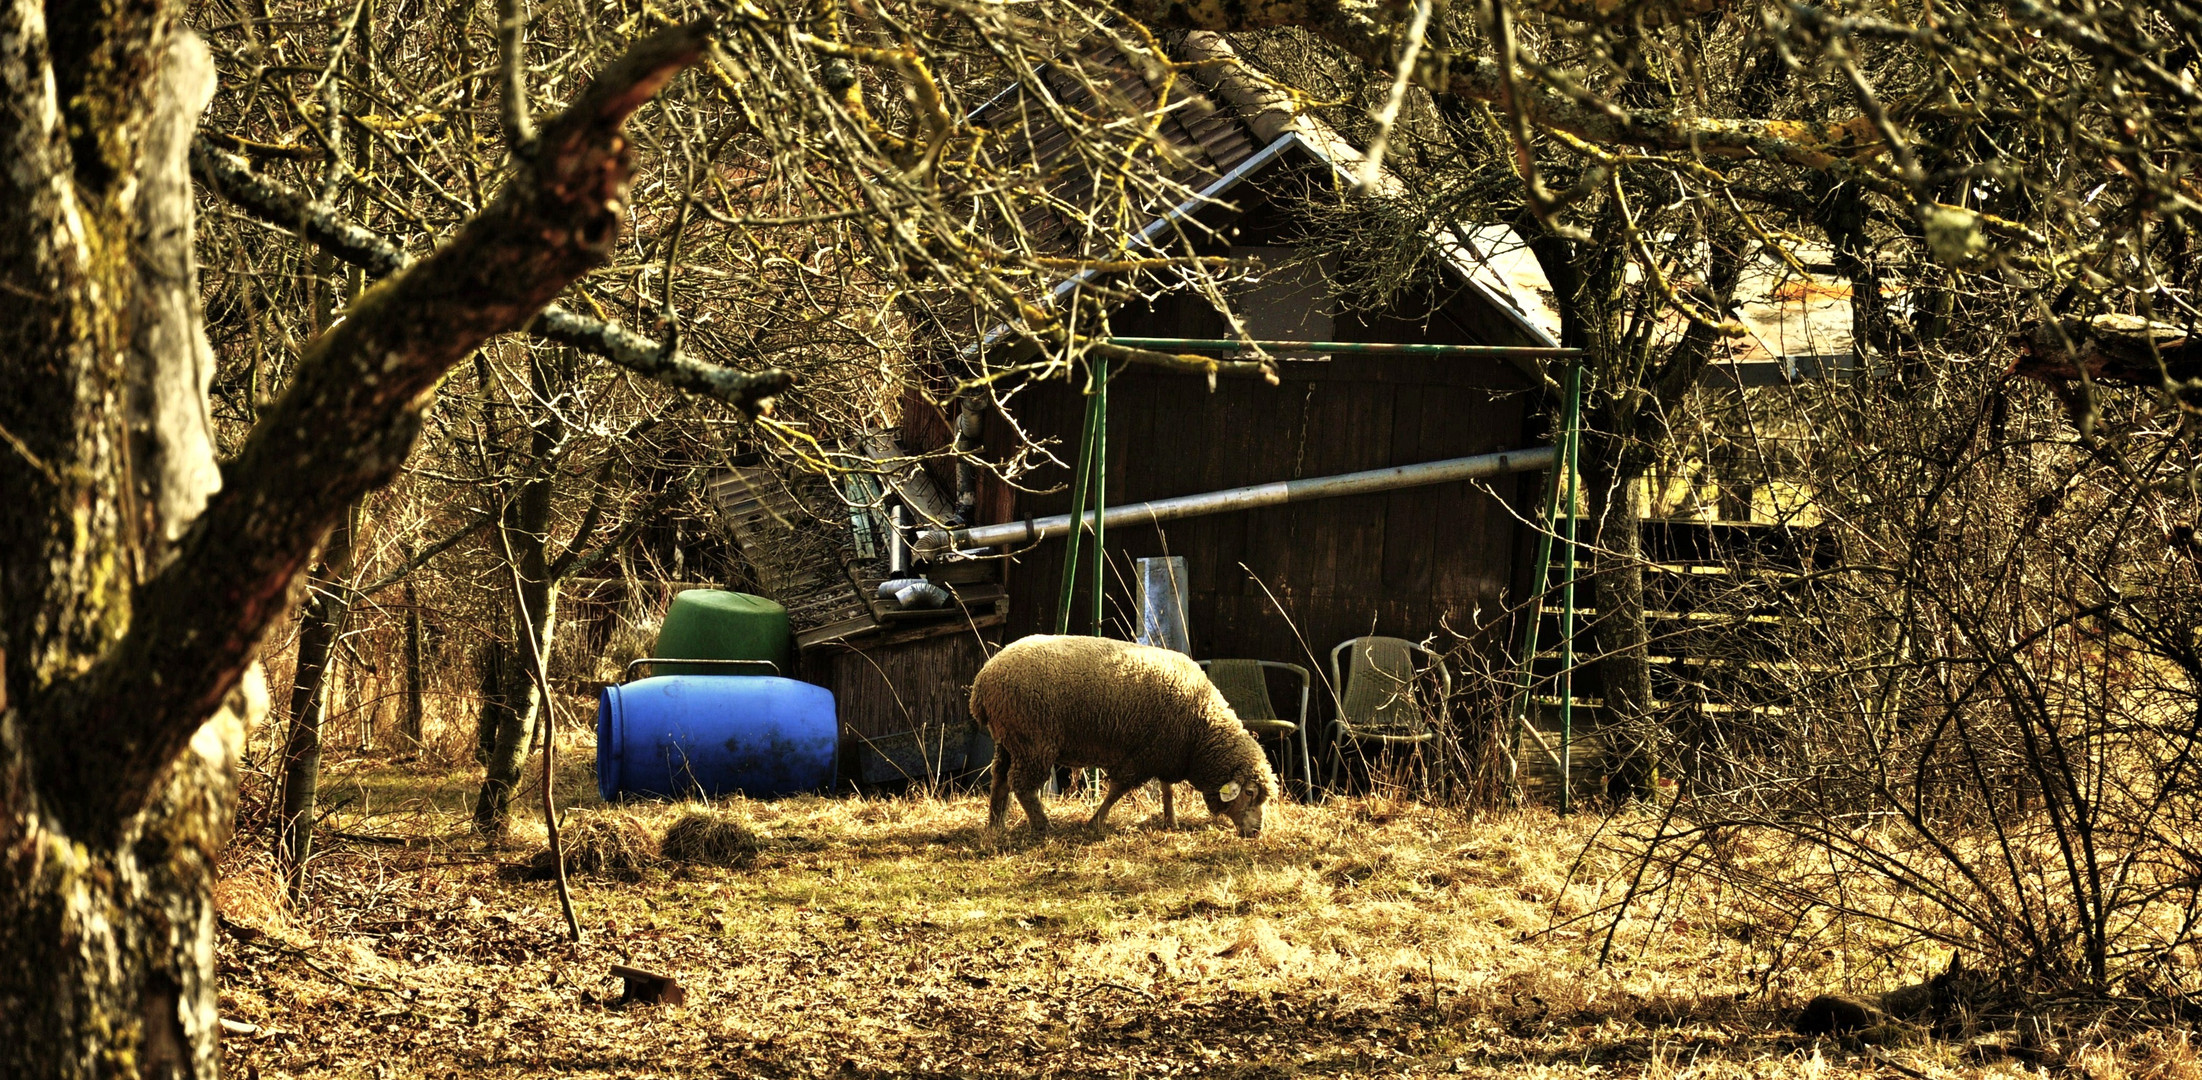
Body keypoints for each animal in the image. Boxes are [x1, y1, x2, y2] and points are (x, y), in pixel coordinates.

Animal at [964, 639, 1277, 837]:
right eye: (1249, 793)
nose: (1257, 832)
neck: (1201, 734)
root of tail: (983, 680)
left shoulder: (1165, 751)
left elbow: (1167, 790)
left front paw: (1171, 821)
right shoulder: (1141, 756)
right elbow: (1118, 790)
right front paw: (1095, 822)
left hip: (1009, 739)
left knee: (1000, 778)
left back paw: (996, 824)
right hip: (1033, 741)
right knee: (1023, 786)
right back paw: (1043, 827)